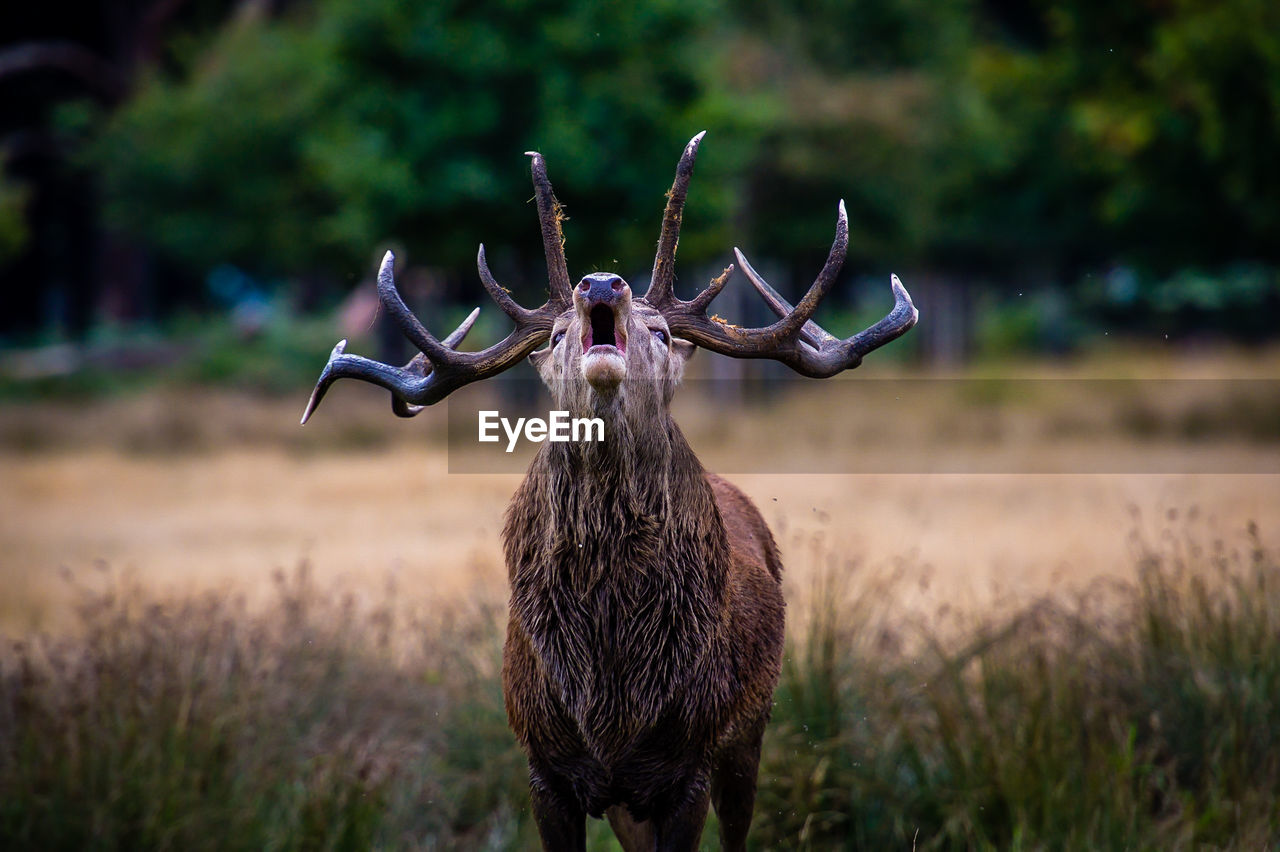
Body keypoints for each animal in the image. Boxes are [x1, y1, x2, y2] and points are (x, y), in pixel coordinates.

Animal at [299, 136, 916, 844]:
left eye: (664, 333)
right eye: (555, 335)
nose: (599, 282)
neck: (612, 695)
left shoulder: (689, 761)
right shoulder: (544, 764)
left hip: (748, 736)